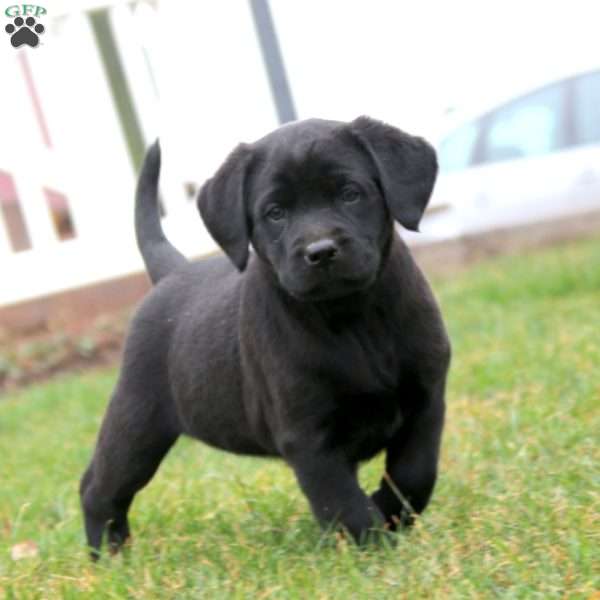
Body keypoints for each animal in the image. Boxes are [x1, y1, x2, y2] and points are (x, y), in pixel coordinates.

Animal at [82, 116, 452, 556]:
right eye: (275, 213)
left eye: (350, 194)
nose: (320, 251)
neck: (353, 317)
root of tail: (172, 272)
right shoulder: (308, 437)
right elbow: (342, 501)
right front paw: (374, 545)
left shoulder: (426, 400)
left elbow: (415, 473)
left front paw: (390, 512)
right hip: (137, 424)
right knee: (98, 486)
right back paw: (109, 552)